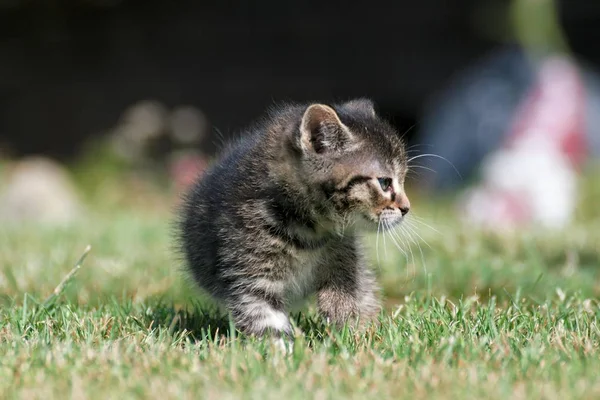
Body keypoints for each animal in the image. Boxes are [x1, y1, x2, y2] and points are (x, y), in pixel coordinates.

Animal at [178, 98, 410, 340]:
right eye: (385, 183)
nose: (406, 208)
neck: (309, 230)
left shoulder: (345, 257)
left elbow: (349, 295)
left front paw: (352, 334)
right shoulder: (249, 273)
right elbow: (265, 317)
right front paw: (280, 347)